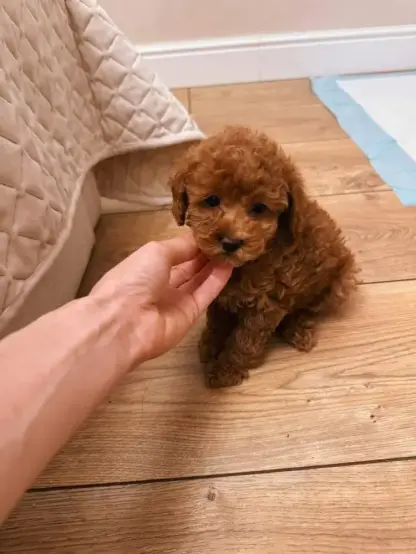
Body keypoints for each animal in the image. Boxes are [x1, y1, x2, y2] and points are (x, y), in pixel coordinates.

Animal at [169, 126, 358, 388]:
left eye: (259, 208)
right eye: (212, 200)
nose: (230, 243)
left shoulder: (266, 304)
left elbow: (244, 340)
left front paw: (225, 370)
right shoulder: (221, 296)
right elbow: (217, 322)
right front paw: (210, 345)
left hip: (341, 282)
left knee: (308, 308)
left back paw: (297, 328)